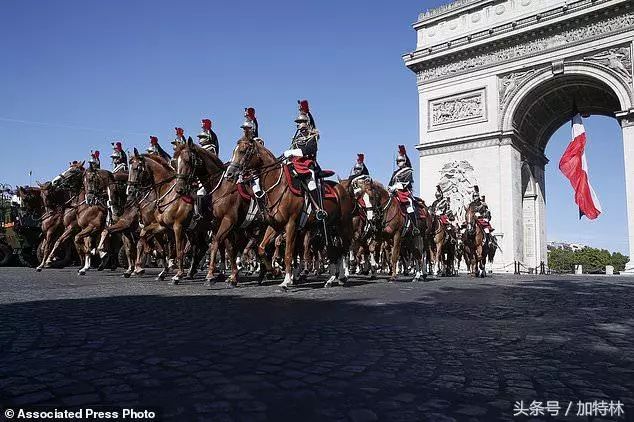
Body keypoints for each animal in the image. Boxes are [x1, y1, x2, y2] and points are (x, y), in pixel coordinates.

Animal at [223, 135, 354, 290]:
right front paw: (275, 271)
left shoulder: (291, 225)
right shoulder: (274, 225)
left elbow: (288, 254)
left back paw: (342, 277)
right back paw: (331, 279)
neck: (278, 187)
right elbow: (261, 249)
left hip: (342, 225)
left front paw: (285, 281)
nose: (229, 174)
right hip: (327, 228)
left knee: (344, 250)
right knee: (334, 250)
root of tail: (342, 190)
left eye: (243, 151)